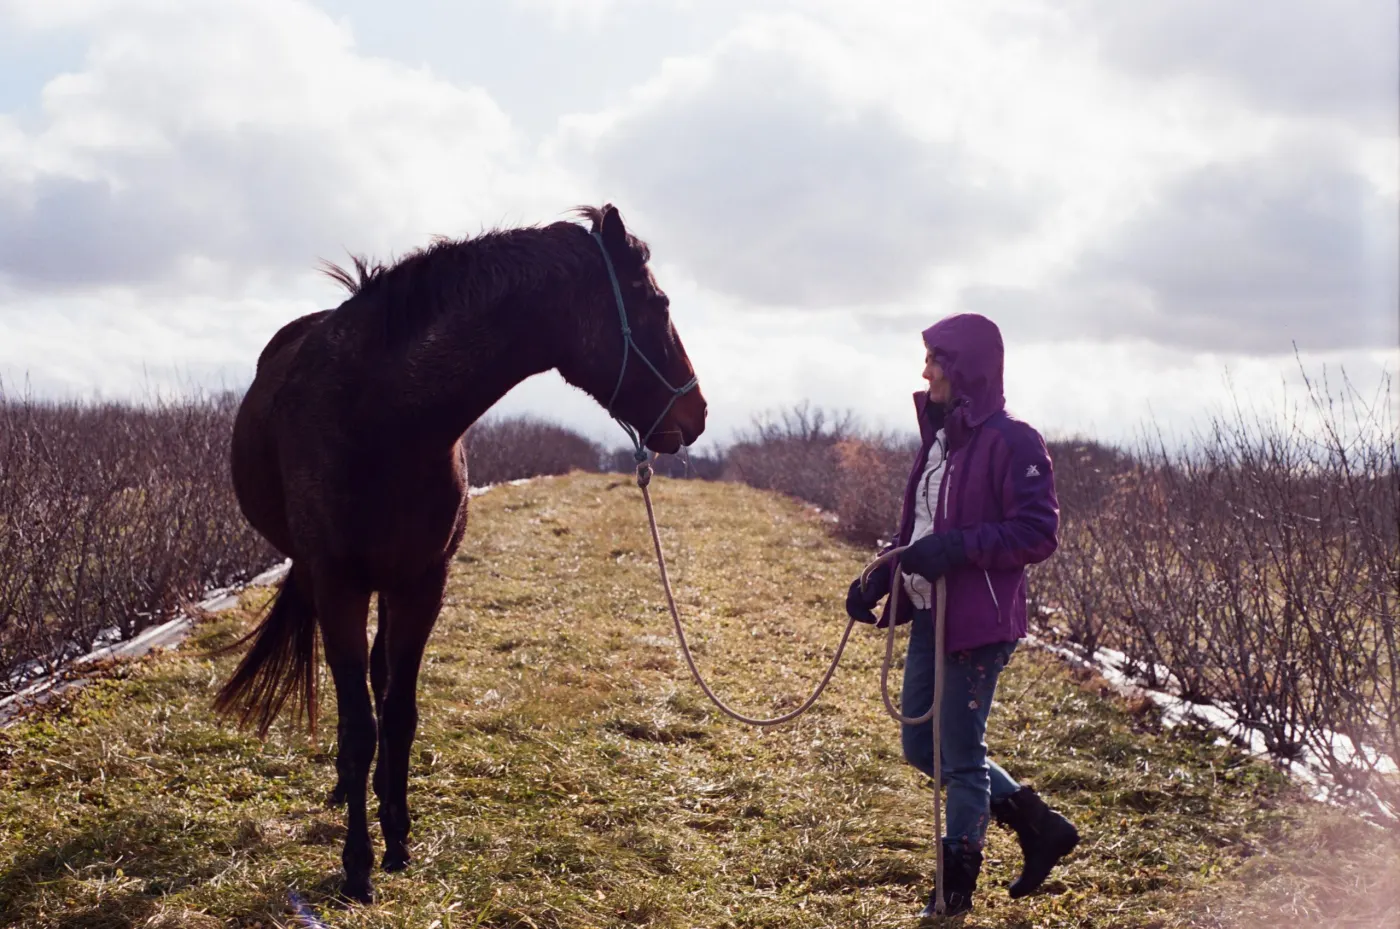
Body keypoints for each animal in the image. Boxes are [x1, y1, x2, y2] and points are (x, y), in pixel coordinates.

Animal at [213, 204, 707, 903]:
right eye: (657, 303)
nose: (696, 414)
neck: (381, 416)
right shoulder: (339, 583)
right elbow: (361, 723)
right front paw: (357, 864)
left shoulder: (424, 582)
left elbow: (399, 713)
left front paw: (396, 836)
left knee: (379, 679)